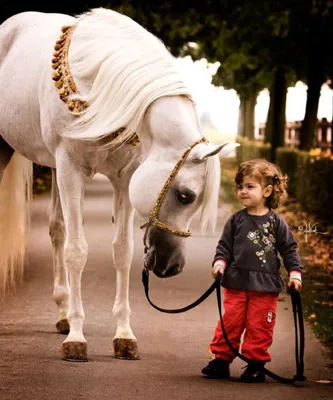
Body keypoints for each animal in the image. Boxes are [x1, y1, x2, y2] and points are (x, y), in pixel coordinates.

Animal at [0, 7, 237, 362]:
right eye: (185, 196)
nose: (173, 266)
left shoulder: (125, 178)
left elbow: (122, 251)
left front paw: (124, 336)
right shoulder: (70, 170)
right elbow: (76, 251)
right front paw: (76, 338)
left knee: (57, 229)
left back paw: (62, 313)